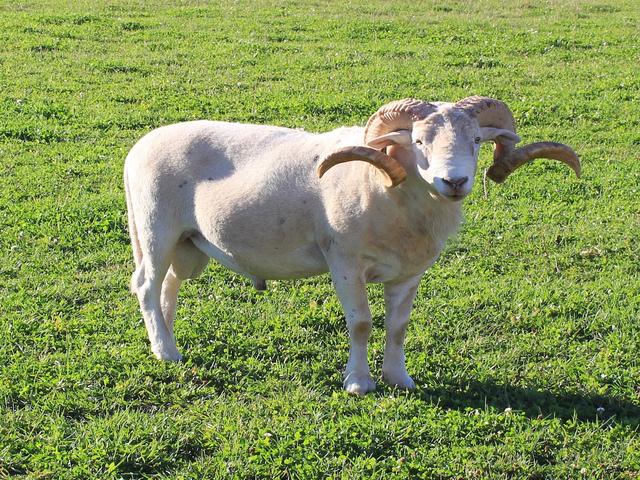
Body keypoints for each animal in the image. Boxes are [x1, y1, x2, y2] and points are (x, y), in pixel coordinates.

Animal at [124, 96, 580, 395]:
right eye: (418, 142)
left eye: (476, 141)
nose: (454, 181)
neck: (388, 192)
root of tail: (139, 148)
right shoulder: (344, 262)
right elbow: (360, 323)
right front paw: (359, 383)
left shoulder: (409, 273)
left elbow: (398, 326)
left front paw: (399, 378)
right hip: (155, 228)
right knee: (146, 285)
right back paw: (166, 352)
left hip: (189, 245)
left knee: (168, 287)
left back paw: (165, 341)